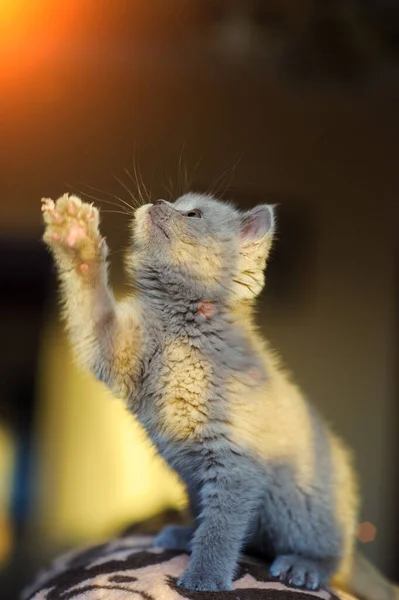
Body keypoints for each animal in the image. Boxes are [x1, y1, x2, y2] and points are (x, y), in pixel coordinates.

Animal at [41, 192, 399, 600]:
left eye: (193, 214)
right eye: (176, 202)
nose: (159, 201)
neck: (181, 327)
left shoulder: (237, 461)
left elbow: (222, 527)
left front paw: (204, 579)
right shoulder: (112, 346)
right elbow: (91, 306)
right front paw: (74, 236)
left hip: (300, 504)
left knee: (328, 556)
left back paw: (303, 567)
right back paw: (183, 533)